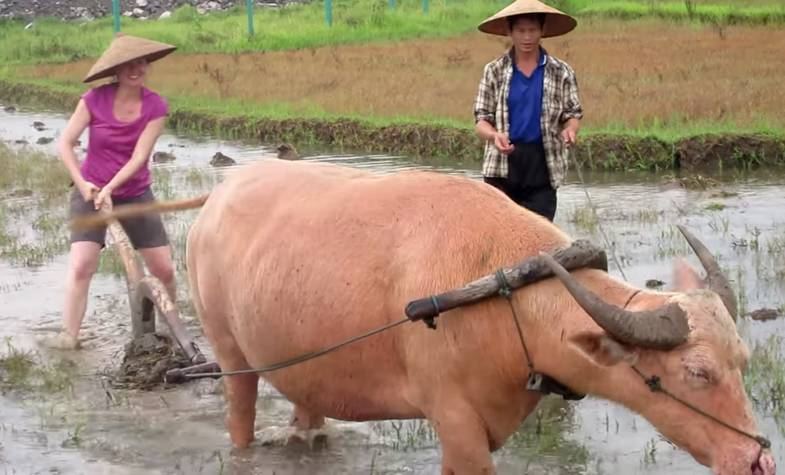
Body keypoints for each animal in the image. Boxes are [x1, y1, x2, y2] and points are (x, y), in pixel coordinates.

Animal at [76, 161, 776, 475]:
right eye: (697, 372)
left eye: (742, 362)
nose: (756, 461)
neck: (506, 296)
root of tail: (224, 191)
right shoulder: (456, 425)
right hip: (231, 354)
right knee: (240, 413)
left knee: (306, 408)